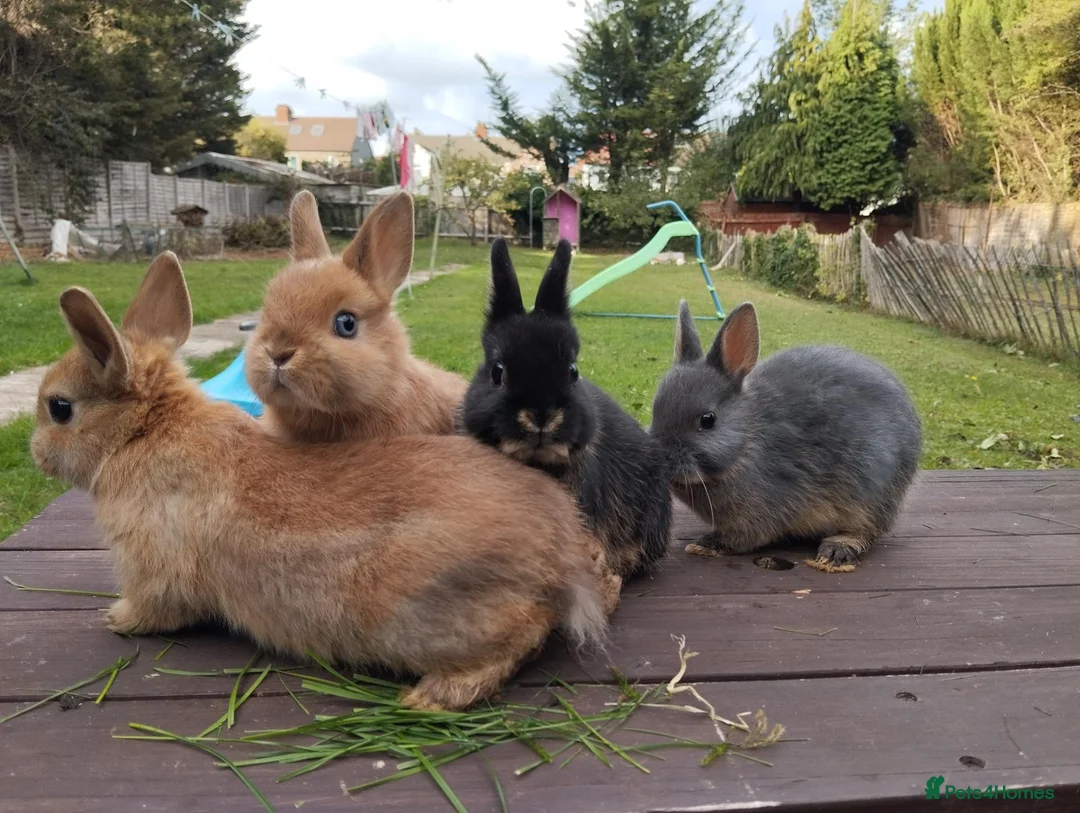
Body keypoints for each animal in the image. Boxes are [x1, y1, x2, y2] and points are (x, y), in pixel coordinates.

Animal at [30, 252, 618, 711]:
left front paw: (117, 619)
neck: (145, 431)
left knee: (523, 633)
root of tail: (557, 553)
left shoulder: (153, 570)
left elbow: (156, 607)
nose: (36, 455)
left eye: (60, 408)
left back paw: (431, 696)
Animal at [650, 300, 922, 573]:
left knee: (866, 531)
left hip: (870, 495)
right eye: (655, 409)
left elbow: (744, 539)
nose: (661, 456)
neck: (747, 442)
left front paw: (706, 544)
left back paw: (836, 550)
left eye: (708, 420)